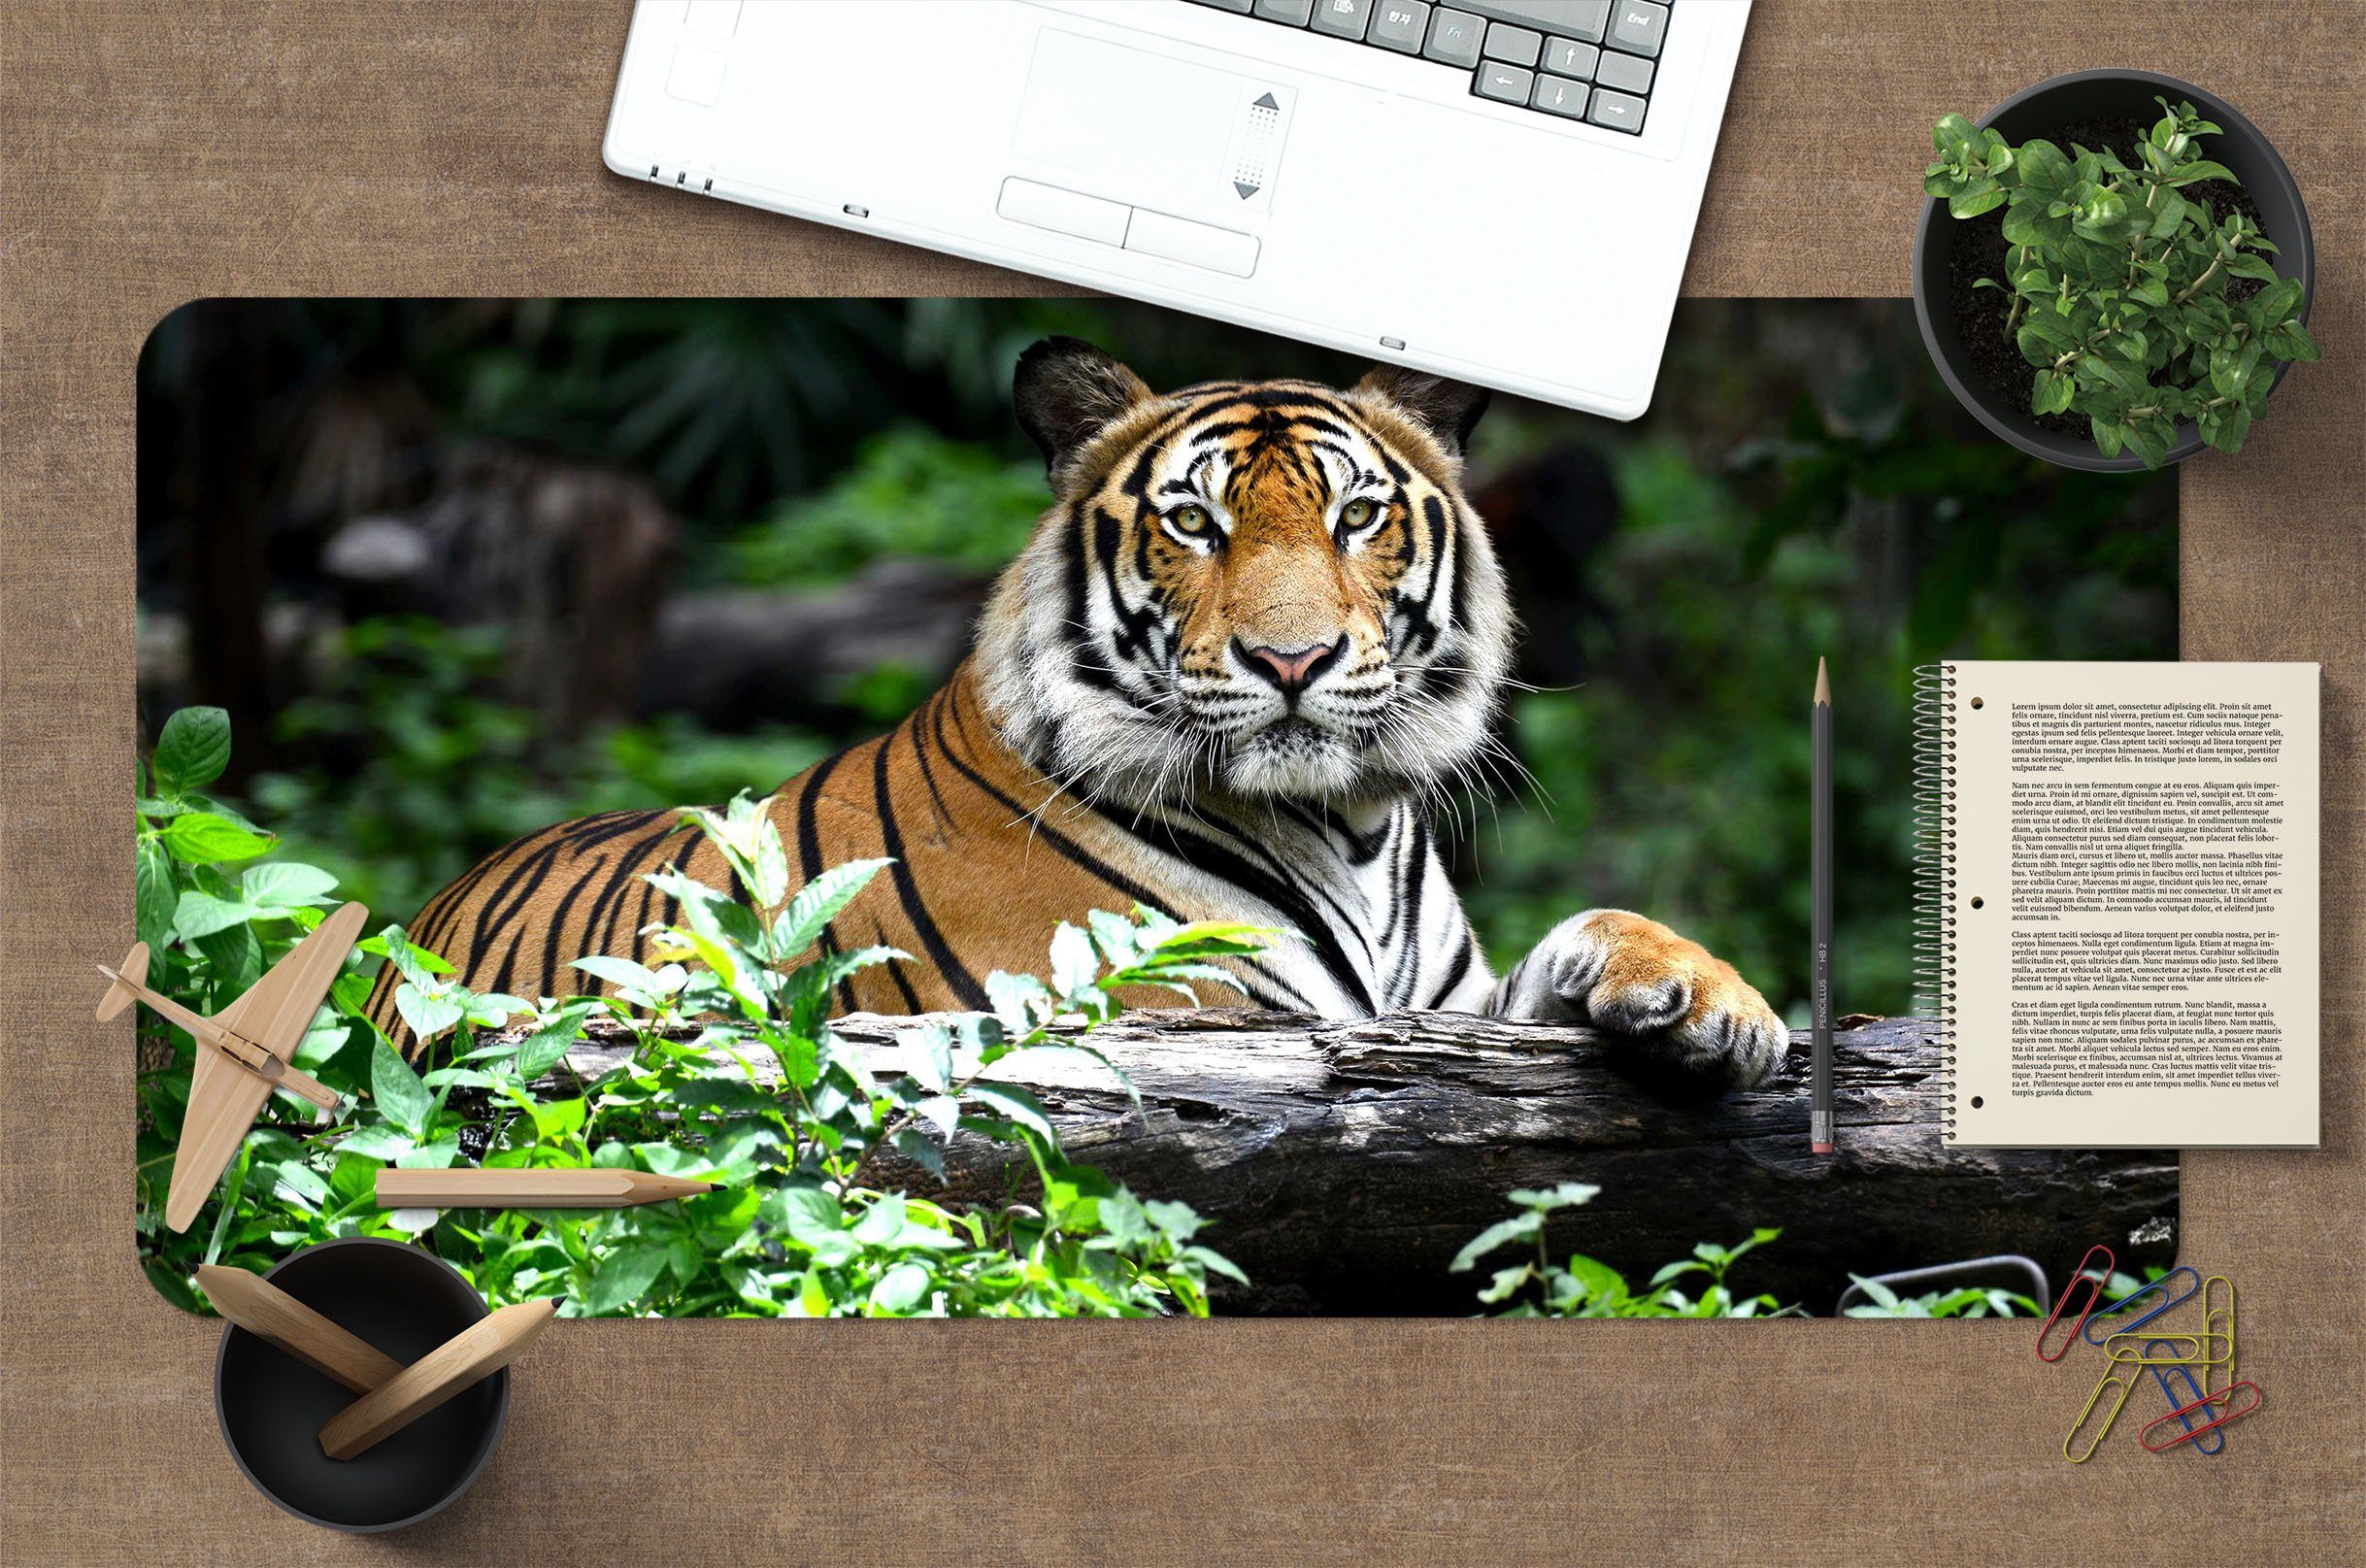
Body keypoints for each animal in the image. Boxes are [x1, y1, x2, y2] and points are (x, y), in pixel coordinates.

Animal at [368, 338, 1787, 1090]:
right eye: (1194, 522)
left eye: (1356, 516)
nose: (1293, 658)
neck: (1348, 823)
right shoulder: (1188, 1014)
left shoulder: (1447, 1010)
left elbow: (1590, 932)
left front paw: (1715, 1001)